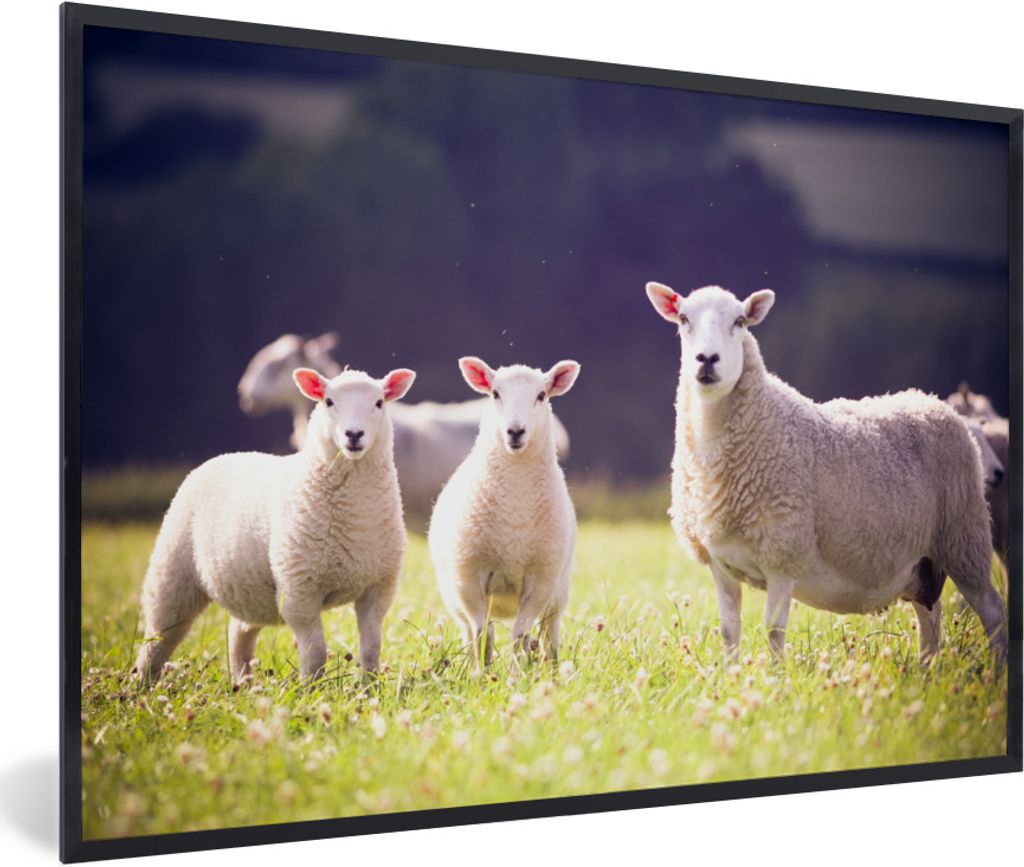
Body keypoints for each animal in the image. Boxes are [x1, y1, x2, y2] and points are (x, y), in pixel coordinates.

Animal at [133, 365, 417, 684]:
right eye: (328, 402)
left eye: (379, 403)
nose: (354, 434)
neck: (357, 518)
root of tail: (229, 454)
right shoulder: (299, 590)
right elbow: (315, 653)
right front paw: (312, 688)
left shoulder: (378, 588)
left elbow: (371, 648)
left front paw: (369, 687)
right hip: (173, 573)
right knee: (159, 636)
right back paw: (141, 684)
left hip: (249, 590)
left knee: (239, 632)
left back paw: (242, 682)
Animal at [428, 357, 580, 668]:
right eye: (495, 394)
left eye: (541, 395)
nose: (515, 431)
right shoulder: (468, 579)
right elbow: (481, 634)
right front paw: (481, 674)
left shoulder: (541, 581)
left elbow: (520, 635)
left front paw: (515, 672)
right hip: (454, 596)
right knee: (471, 632)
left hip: (559, 592)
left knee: (549, 633)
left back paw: (552, 667)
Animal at [645, 281, 1007, 669]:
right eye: (684, 319)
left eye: (740, 321)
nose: (707, 360)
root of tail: (931, 402)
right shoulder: (721, 563)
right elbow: (729, 631)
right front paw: (731, 675)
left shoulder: (784, 555)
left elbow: (773, 631)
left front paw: (776, 676)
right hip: (923, 562)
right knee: (930, 619)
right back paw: (926, 670)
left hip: (964, 537)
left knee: (992, 611)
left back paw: (994, 671)